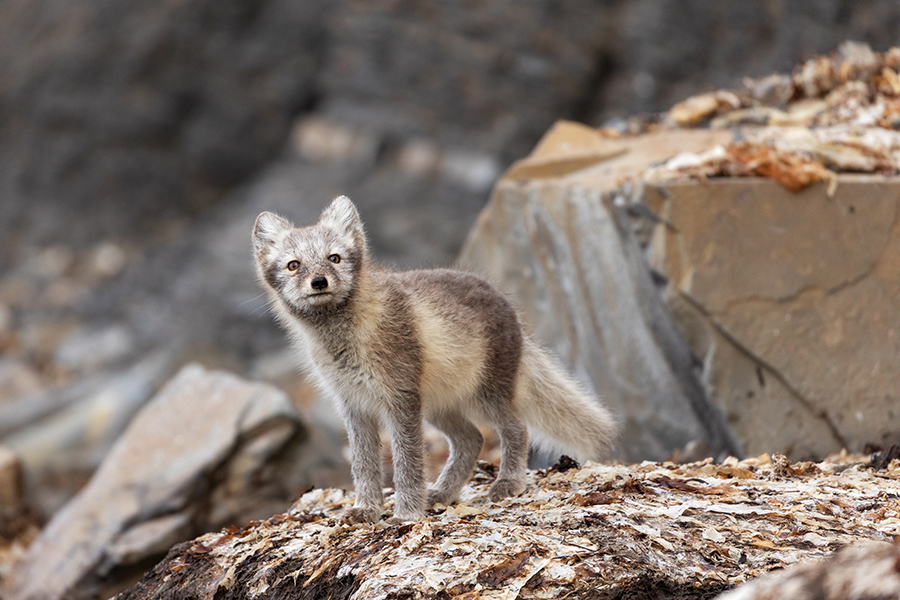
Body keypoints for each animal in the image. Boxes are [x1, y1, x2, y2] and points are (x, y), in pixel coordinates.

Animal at [252, 195, 617, 523]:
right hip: (439, 406)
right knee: (473, 439)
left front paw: (407, 513)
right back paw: (442, 493)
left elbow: (407, 461)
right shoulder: (354, 406)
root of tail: (508, 305)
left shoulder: (400, 398)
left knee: (516, 428)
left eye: (334, 258)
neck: (343, 341)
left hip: (485, 397)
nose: (319, 282)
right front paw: (367, 510)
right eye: (294, 265)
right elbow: (363, 465)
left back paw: (507, 483)